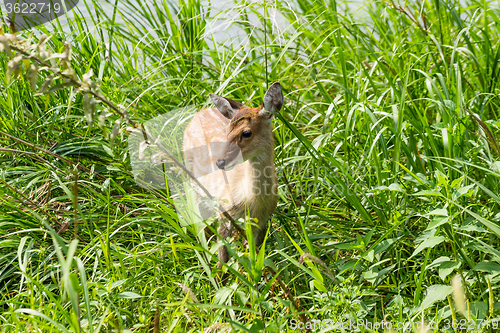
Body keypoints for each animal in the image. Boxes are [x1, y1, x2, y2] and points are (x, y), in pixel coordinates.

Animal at [184, 82, 286, 268]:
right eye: (227, 132)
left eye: (246, 133)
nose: (220, 162)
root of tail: (198, 113)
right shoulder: (226, 214)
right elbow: (223, 259)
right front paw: (217, 276)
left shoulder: (261, 222)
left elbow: (255, 255)